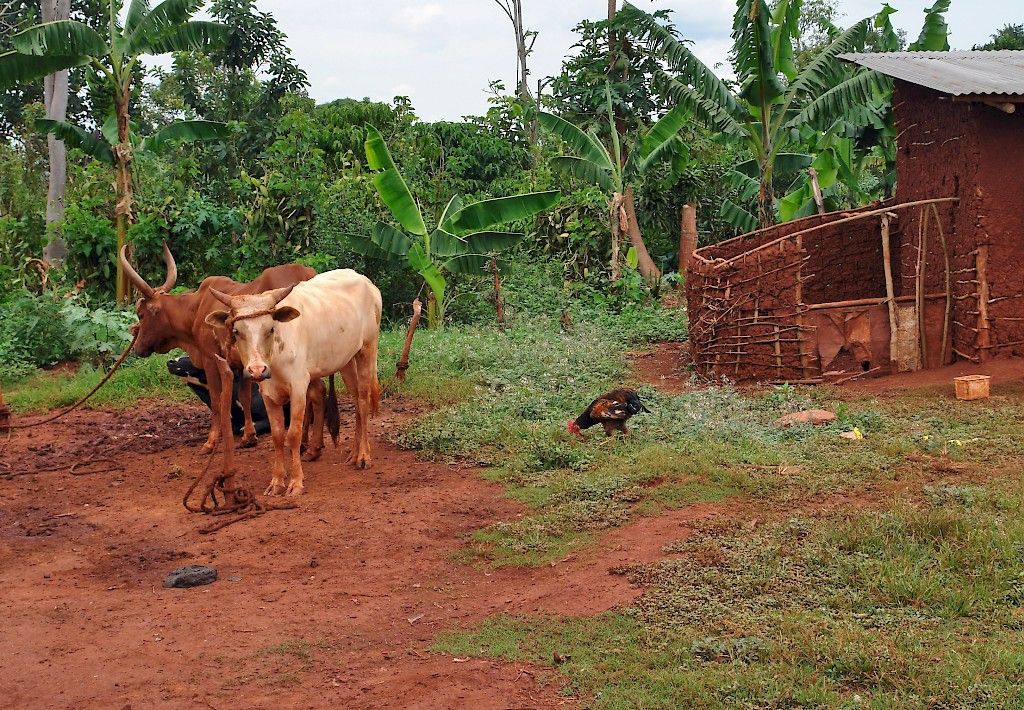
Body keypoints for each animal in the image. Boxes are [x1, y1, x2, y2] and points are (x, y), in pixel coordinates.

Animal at [120, 242, 331, 454]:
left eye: (141, 314)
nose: (137, 348)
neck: (196, 309)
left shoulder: (210, 359)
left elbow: (217, 400)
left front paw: (211, 442)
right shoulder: (243, 364)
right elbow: (244, 397)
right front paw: (249, 437)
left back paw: (308, 445)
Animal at [205, 268, 382, 495]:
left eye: (271, 329)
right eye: (236, 331)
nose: (257, 369)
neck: (275, 358)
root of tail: (366, 281)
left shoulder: (298, 387)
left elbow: (294, 435)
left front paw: (296, 482)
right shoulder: (267, 393)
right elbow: (278, 436)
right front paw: (277, 482)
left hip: (367, 349)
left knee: (362, 399)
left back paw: (363, 456)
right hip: (346, 360)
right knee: (357, 400)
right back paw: (353, 454)